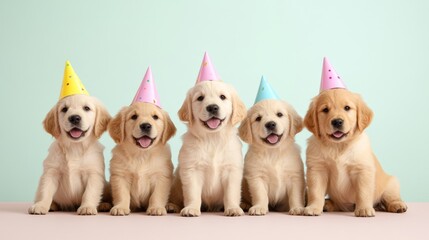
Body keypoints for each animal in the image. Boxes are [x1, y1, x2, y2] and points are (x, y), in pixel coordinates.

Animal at [168, 81, 246, 218]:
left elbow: (231, 193)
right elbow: (192, 193)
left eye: (222, 97)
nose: (212, 107)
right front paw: (191, 208)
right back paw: (171, 206)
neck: (212, 139)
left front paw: (233, 208)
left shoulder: (232, 170)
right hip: (176, 183)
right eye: (200, 98)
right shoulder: (192, 170)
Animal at [302, 89, 406, 217]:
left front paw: (364, 209)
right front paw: (313, 207)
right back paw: (328, 204)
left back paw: (398, 205)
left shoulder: (362, 170)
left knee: (390, 197)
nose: (337, 122)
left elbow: (363, 192)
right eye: (325, 110)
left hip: (391, 183)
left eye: (347, 108)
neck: (338, 146)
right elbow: (315, 192)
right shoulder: (317, 169)